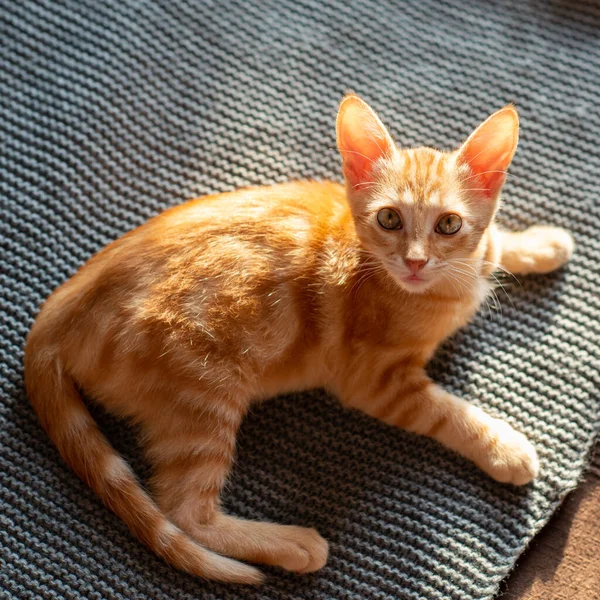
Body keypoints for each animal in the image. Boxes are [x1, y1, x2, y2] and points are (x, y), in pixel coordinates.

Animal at [23, 94, 576, 580]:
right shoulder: (374, 382)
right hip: (203, 393)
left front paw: (537, 243)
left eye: (449, 224)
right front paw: (504, 447)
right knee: (184, 512)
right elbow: (448, 412)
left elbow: (495, 244)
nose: (415, 262)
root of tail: (62, 305)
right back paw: (291, 544)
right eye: (389, 218)